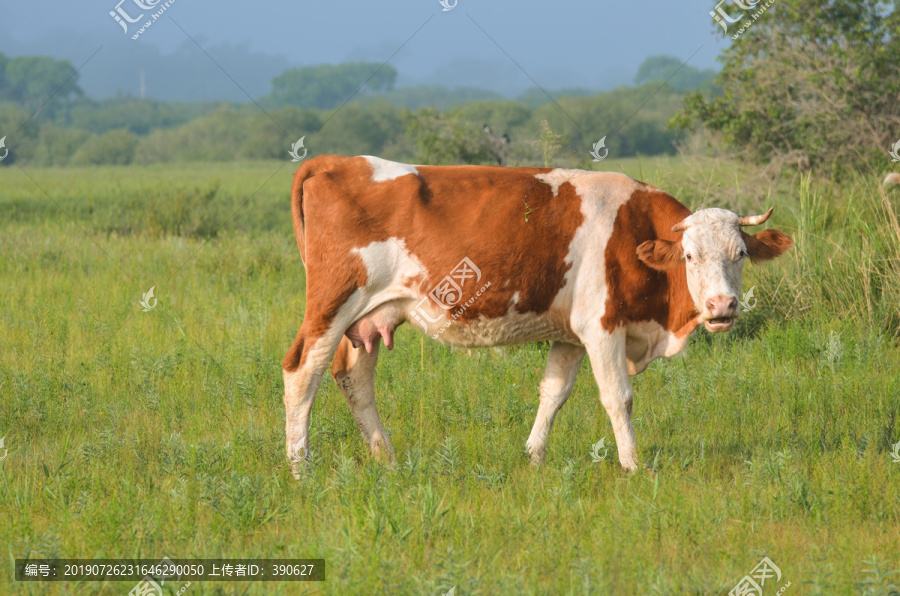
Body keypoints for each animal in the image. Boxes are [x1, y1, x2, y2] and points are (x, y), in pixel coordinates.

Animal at [282, 155, 796, 474]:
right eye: (689, 256)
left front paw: (533, 456)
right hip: (332, 304)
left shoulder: (569, 333)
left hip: (368, 319)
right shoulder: (601, 326)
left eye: (740, 254)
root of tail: (335, 161)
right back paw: (300, 468)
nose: (722, 306)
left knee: (354, 379)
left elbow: (554, 393)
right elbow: (618, 397)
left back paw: (385, 458)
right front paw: (633, 464)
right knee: (302, 372)